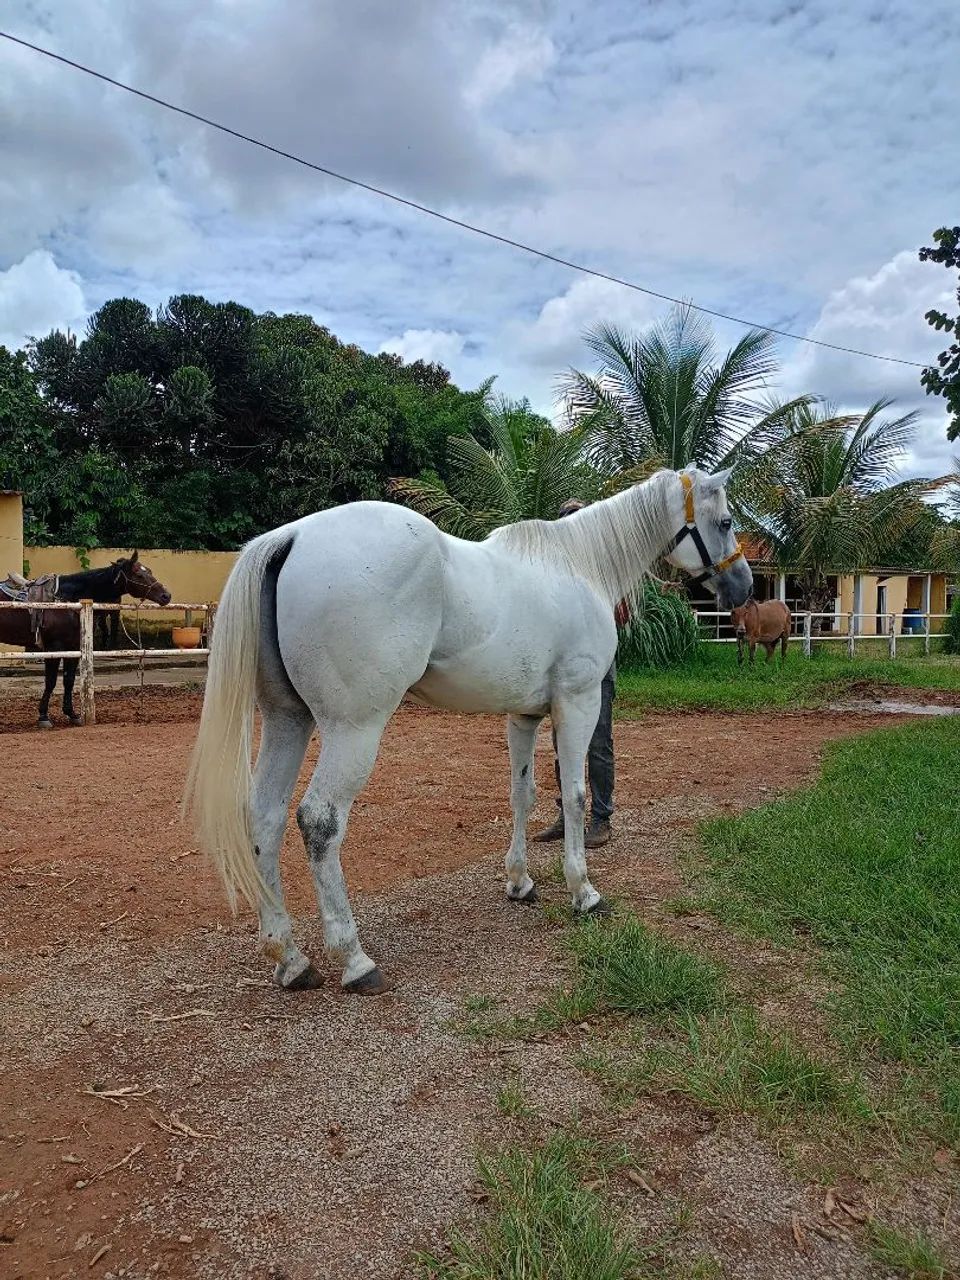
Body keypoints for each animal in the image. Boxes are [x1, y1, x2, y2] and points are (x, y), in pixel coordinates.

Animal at [0, 553, 172, 727]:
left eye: (149, 571)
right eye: (138, 574)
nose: (166, 596)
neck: (67, 600)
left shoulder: (74, 647)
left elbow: (68, 680)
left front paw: (72, 714)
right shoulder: (54, 648)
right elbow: (51, 681)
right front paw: (43, 716)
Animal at [184, 467, 752, 995]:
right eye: (725, 521)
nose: (744, 585)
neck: (578, 565)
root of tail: (294, 536)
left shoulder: (524, 716)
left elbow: (523, 794)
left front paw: (520, 882)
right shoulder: (578, 702)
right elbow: (574, 794)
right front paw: (584, 892)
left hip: (288, 722)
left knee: (265, 817)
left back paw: (290, 959)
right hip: (353, 731)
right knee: (319, 821)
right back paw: (354, 960)